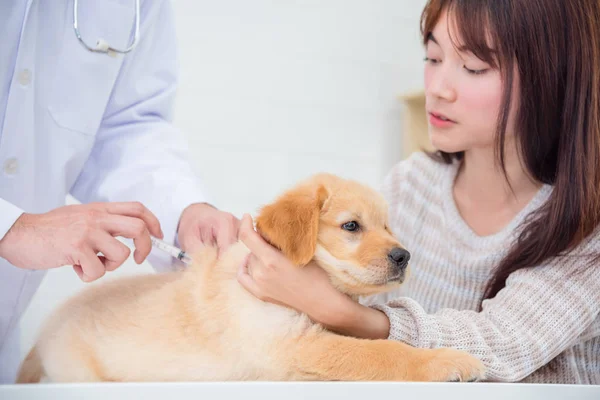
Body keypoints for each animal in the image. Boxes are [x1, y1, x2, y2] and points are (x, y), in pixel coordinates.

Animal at [17, 173, 488, 384]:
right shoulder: (298, 344)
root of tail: (44, 333)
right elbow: (383, 352)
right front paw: (448, 361)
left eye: (389, 227)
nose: (403, 256)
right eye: (352, 226)